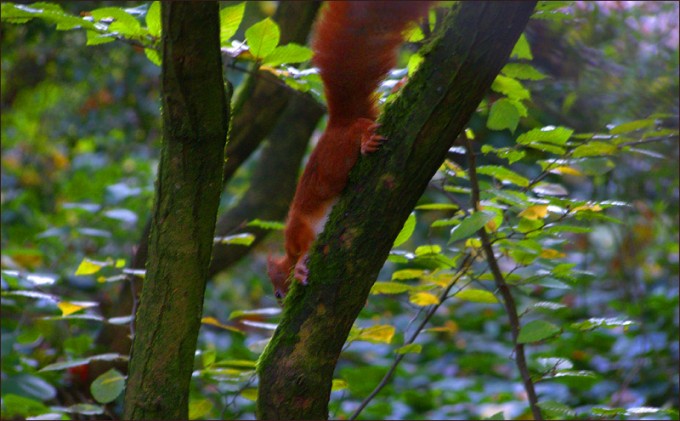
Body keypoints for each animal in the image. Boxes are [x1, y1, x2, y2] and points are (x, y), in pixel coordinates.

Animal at [267, 1, 434, 300]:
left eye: (276, 291)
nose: (280, 299)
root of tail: (339, 123)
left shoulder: (297, 229)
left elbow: (303, 247)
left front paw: (300, 268)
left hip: (337, 158)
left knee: (360, 128)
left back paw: (367, 139)